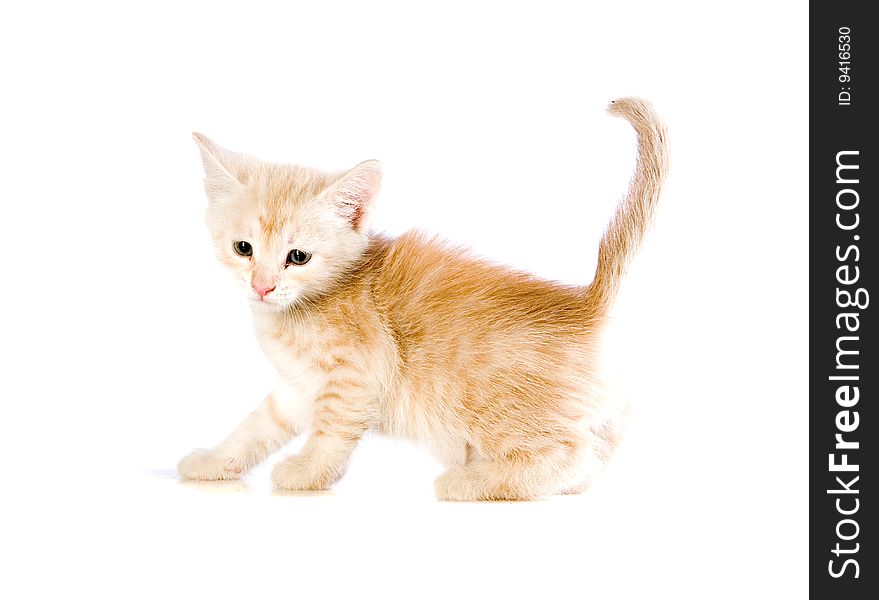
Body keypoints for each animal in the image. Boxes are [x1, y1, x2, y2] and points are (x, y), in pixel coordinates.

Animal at [182, 99, 672, 502]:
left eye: (297, 257)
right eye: (243, 248)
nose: (262, 287)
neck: (294, 312)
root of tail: (588, 303)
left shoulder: (356, 375)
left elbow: (330, 434)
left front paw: (306, 475)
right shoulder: (297, 387)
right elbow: (254, 428)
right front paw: (213, 461)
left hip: (489, 407)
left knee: (570, 454)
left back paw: (471, 481)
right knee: (598, 453)